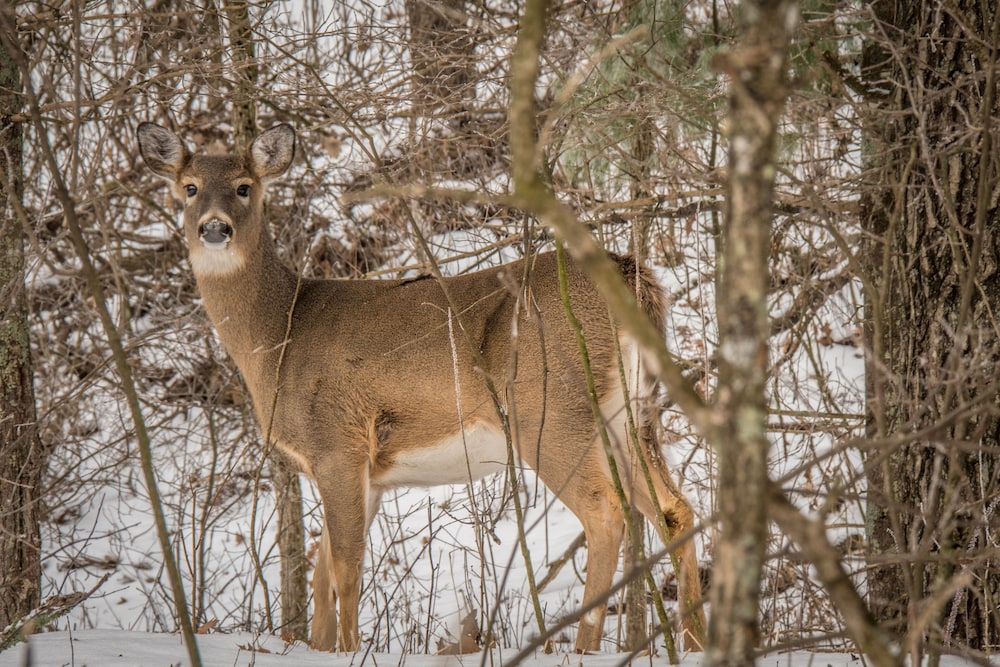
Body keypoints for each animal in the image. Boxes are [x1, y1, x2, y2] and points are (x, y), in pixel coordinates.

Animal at [137, 122, 708, 656]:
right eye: (189, 187)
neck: (278, 337)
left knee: (606, 513)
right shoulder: (366, 471)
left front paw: (349, 650)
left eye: (244, 186)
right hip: (627, 412)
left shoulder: (338, 444)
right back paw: (695, 641)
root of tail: (633, 275)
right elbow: (322, 576)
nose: (214, 227)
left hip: (550, 411)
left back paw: (584, 646)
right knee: (673, 508)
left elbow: (345, 568)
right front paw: (319, 648)